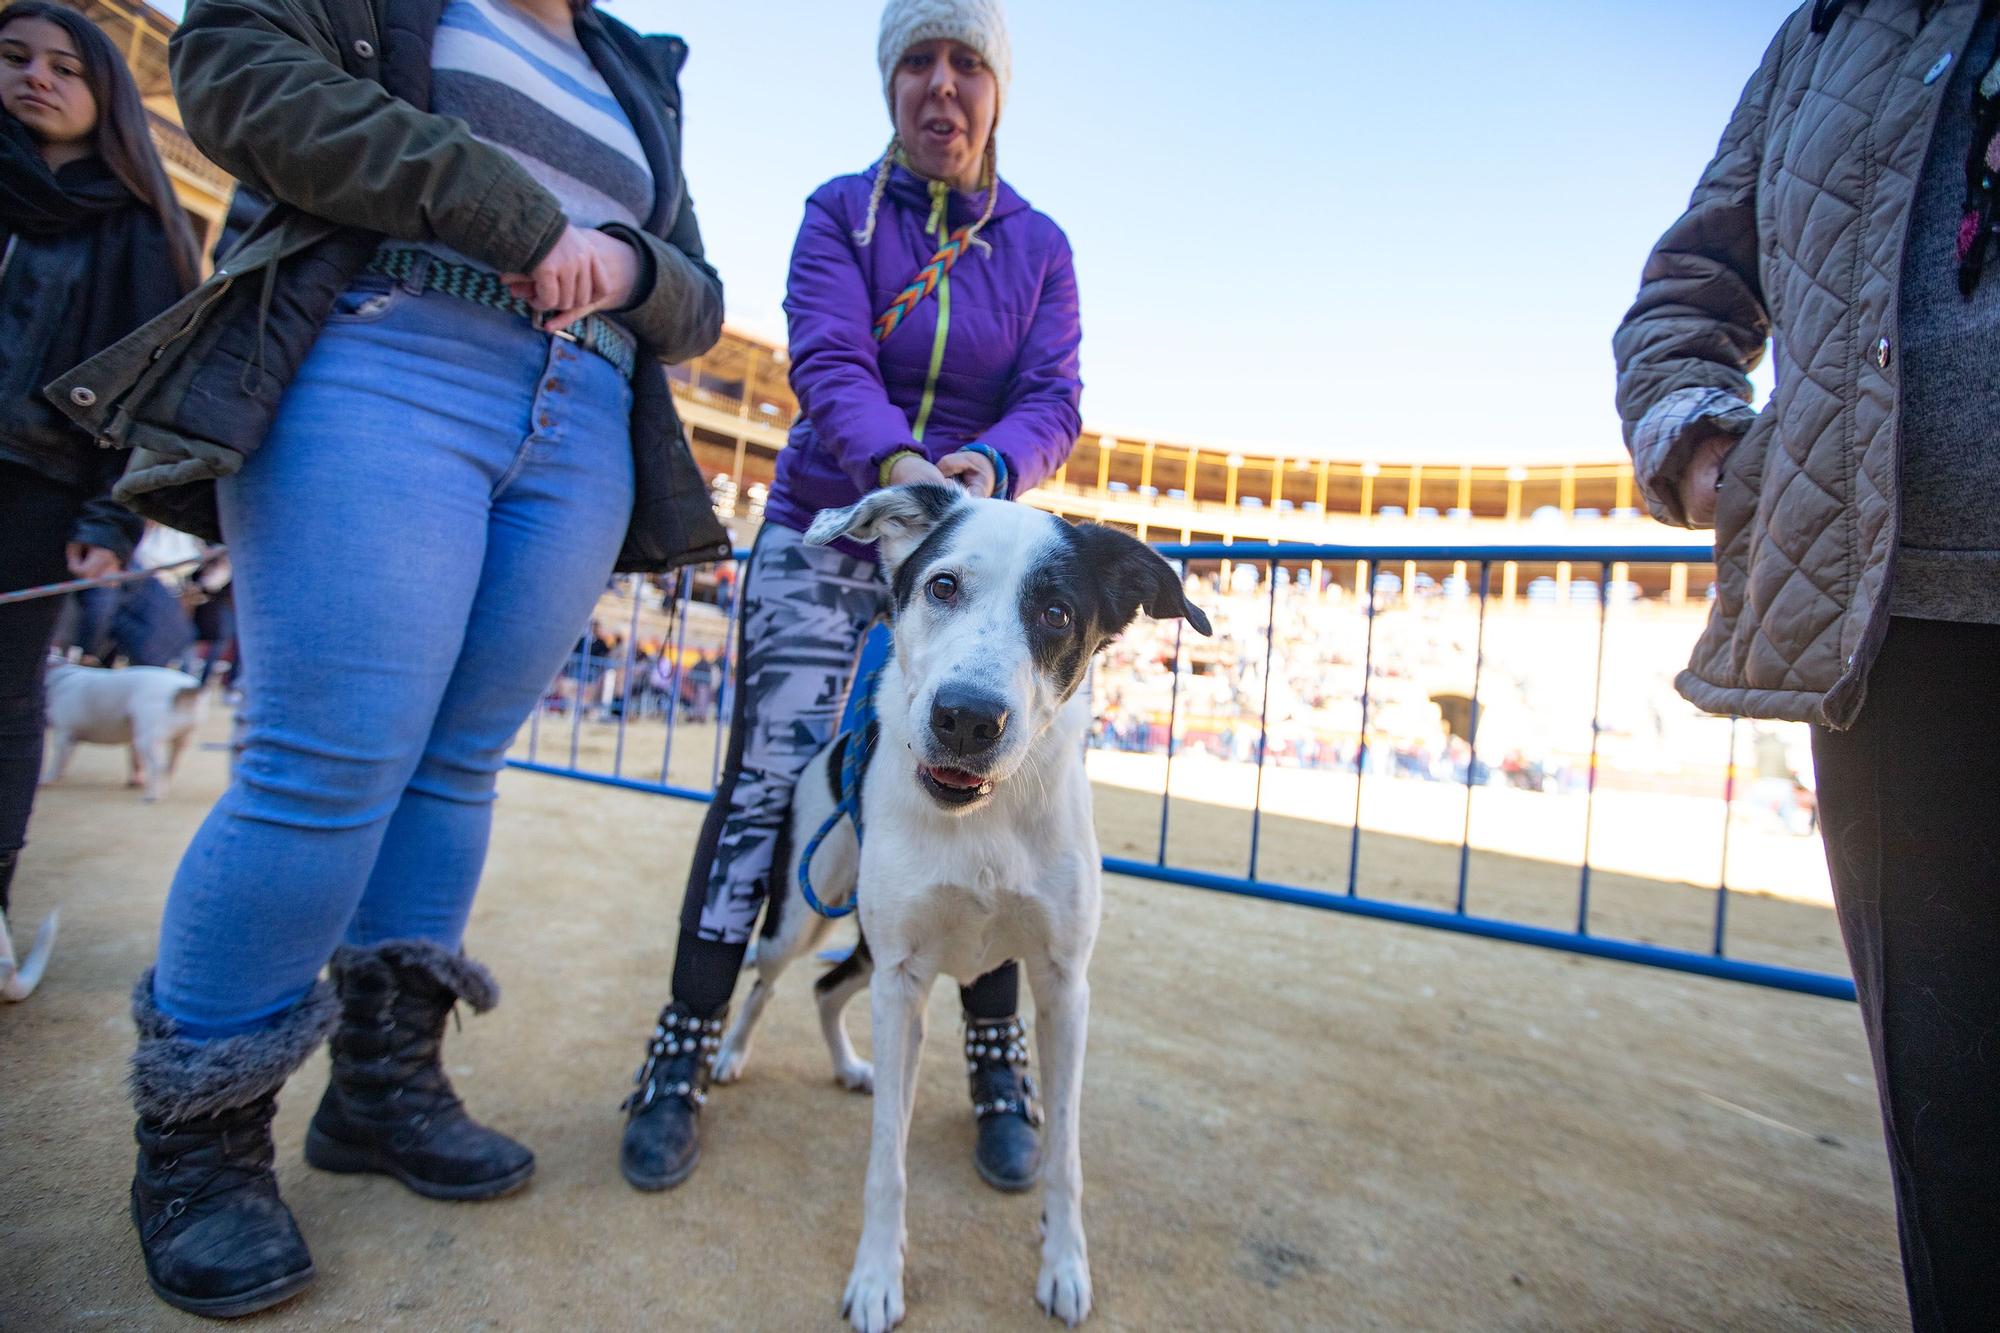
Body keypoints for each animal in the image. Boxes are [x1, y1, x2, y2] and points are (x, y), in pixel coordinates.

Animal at [43, 656, 209, 800]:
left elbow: (57, 761)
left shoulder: (65, 734)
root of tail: (184, 688)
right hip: (179, 740)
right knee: (170, 766)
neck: (61, 678)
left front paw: (47, 779)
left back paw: (151, 796)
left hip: (147, 739)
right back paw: (160, 791)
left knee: (157, 767)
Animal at [712, 488, 1208, 1328]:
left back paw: (847, 1065)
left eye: (1056, 612)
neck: (985, 817)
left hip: (873, 953)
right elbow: (887, 1158)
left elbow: (1066, 1157)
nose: (968, 719)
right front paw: (877, 1276)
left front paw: (1064, 1266)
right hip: (805, 918)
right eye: (942, 585)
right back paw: (728, 1053)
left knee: (825, 988)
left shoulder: (1062, 985)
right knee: (769, 979)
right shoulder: (904, 977)